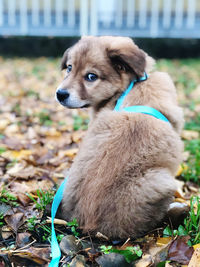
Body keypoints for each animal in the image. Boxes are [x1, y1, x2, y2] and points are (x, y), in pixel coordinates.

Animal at [55, 36, 184, 240]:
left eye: (91, 76)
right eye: (69, 68)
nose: (60, 94)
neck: (133, 85)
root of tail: (89, 226)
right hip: (162, 180)